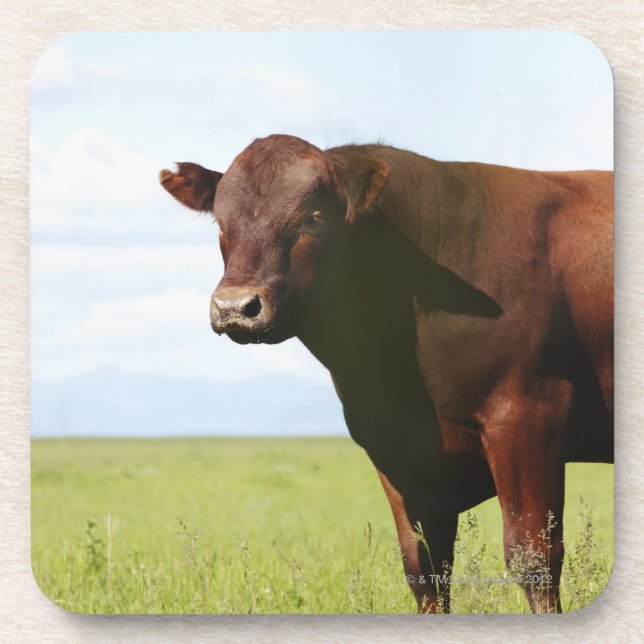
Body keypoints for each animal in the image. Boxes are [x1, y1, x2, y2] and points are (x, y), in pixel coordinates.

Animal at [159, 134, 613, 613]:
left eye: (313, 218)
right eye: (221, 222)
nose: (235, 307)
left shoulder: (527, 418)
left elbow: (533, 558)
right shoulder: (395, 449)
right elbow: (424, 567)